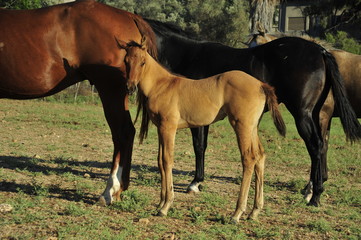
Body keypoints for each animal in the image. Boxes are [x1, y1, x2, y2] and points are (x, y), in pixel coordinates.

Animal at [116, 38, 286, 222]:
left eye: (143, 62)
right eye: (126, 61)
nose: (130, 87)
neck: (162, 85)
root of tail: (261, 85)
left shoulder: (169, 127)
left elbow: (167, 160)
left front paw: (166, 206)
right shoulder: (161, 128)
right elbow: (160, 161)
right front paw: (160, 204)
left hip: (242, 126)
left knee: (249, 158)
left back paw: (237, 213)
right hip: (252, 127)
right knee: (260, 156)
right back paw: (254, 211)